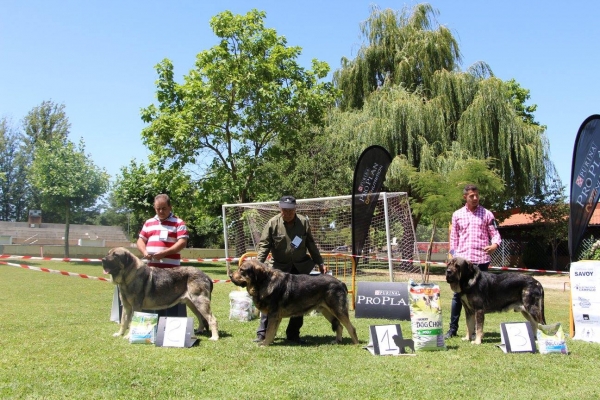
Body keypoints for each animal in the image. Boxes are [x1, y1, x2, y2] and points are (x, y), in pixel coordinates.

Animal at [230, 260, 358, 346]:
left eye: (242, 270)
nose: (230, 275)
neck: (264, 282)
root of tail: (341, 283)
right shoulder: (276, 317)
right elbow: (272, 331)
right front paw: (269, 342)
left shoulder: (273, 315)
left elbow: (269, 331)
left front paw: (265, 344)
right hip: (327, 311)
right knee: (339, 326)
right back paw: (337, 341)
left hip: (338, 310)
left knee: (351, 328)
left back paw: (356, 344)